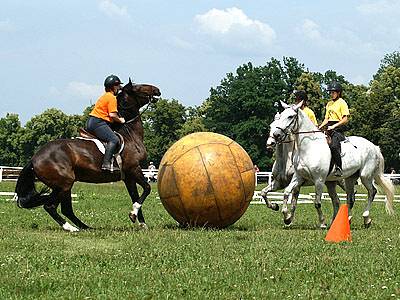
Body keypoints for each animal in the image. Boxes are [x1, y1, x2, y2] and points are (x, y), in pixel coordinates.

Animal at [14, 78, 161, 232]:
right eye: (138, 87)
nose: (157, 90)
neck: (129, 134)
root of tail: (34, 158)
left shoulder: (128, 176)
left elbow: (135, 196)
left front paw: (141, 223)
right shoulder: (133, 169)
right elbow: (147, 188)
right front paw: (134, 214)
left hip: (65, 186)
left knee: (66, 209)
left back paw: (85, 227)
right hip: (64, 184)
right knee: (50, 206)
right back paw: (71, 228)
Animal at [268, 101, 396, 227]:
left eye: (290, 116)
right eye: (280, 116)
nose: (276, 135)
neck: (308, 148)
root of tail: (374, 146)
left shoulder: (319, 180)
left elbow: (317, 202)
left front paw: (322, 222)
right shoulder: (299, 177)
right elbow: (286, 192)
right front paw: (286, 216)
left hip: (365, 176)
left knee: (371, 192)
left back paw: (366, 219)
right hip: (349, 178)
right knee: (349, 198)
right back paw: (345, 220)